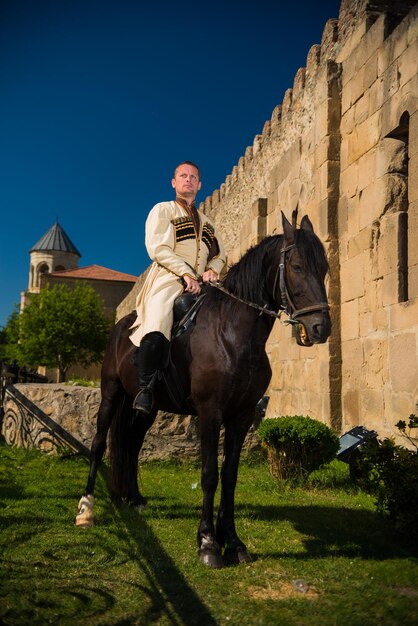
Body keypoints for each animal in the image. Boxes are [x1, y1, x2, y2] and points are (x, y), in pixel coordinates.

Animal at [75, 210, 330, 564]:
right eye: (297, 267)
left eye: (325, 268)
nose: (321, 328)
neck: (233, 333)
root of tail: (123, 326)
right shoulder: (210, 413)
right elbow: (209, 474)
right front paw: (208, 543)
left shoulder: (241, 415)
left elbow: (230, 476)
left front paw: (233, 542)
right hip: (111, 393)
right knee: (99, 443)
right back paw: (86, 509)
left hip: (147, 407)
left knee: (133, 444)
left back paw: (134, 497)